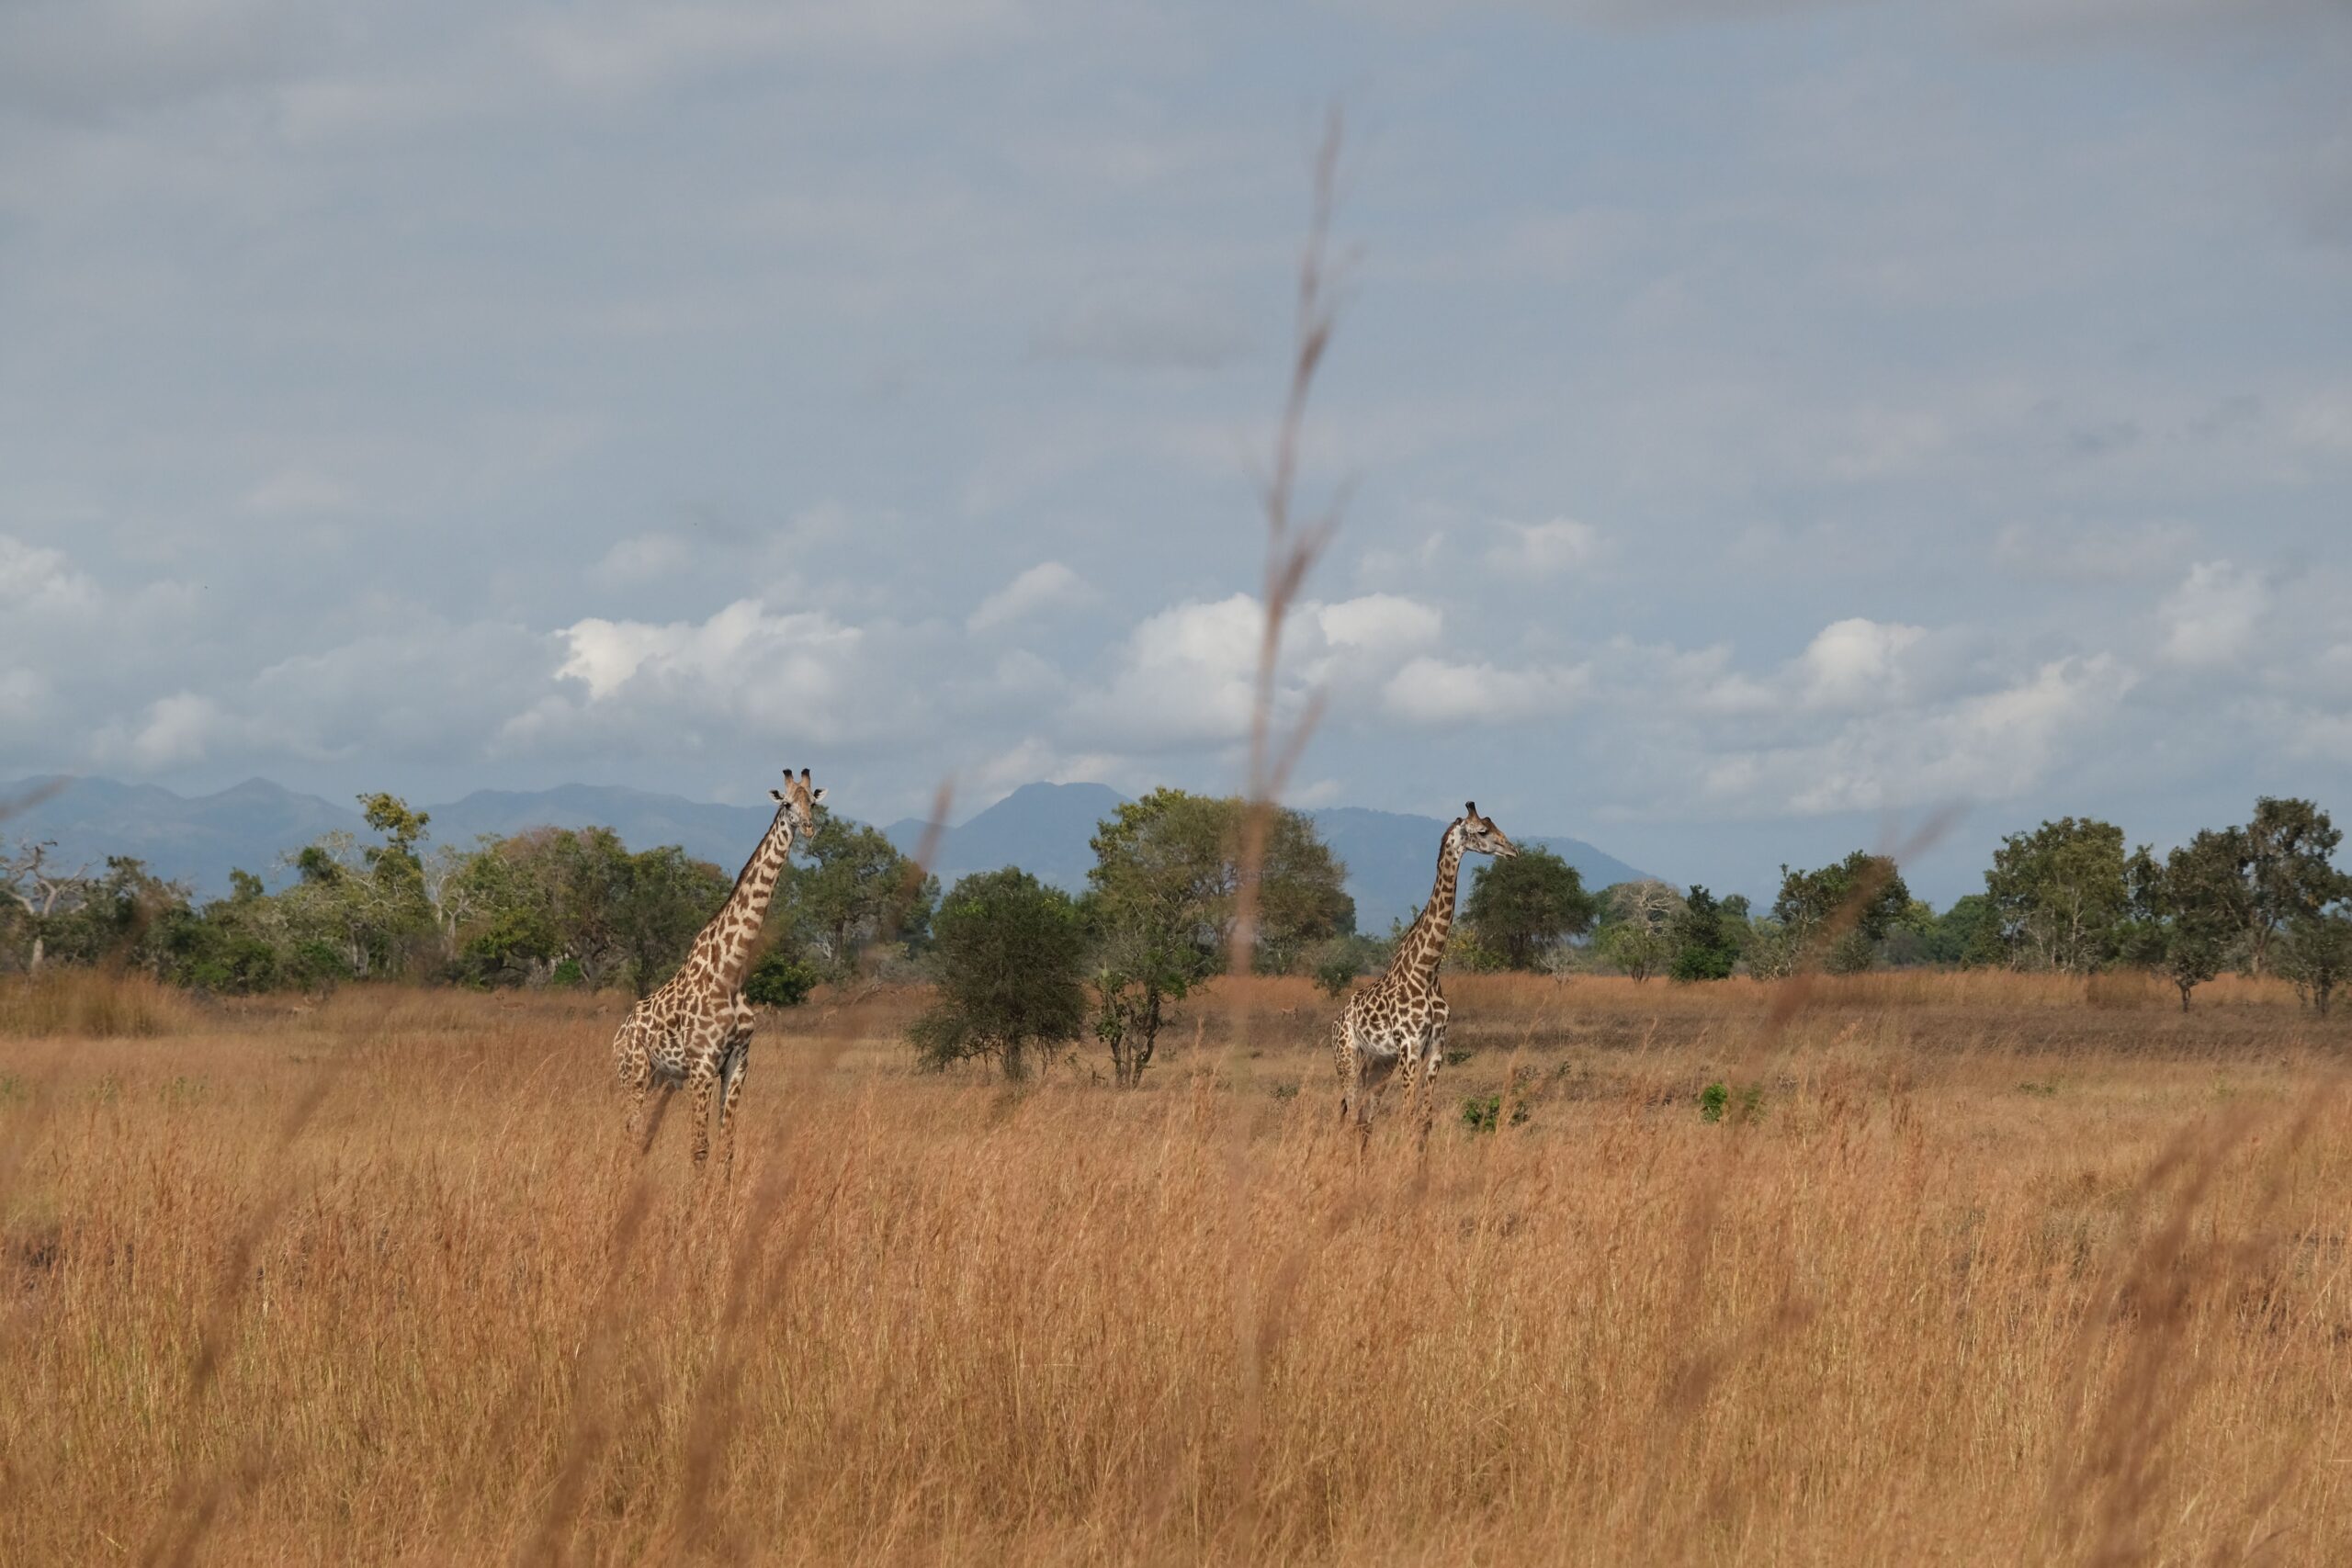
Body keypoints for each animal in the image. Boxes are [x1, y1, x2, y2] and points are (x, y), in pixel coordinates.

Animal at [610, 766, 825, 1170]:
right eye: (788, 804)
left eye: (814, 803)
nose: (808, 828)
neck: (732, 969)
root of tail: (618, 1034)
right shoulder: (702, 1063)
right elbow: (699, 1148)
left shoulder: (738, 1062)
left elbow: (727, 1148)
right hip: (633, 1074)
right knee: (628, 1135)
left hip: (661, 1077)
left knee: (641, 1138)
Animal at [1331, 802, 1518, 1147]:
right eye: (1483, 831)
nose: (1513, 851)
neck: (1427, 970)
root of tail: (1337, 1019)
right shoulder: (1410, 1047)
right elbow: (1408, 1116)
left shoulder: (1436, 1049)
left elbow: (1425, 1120)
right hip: (1347, 1056)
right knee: (1350, 1115)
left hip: (1378, 1063)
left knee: (1364, 1118)